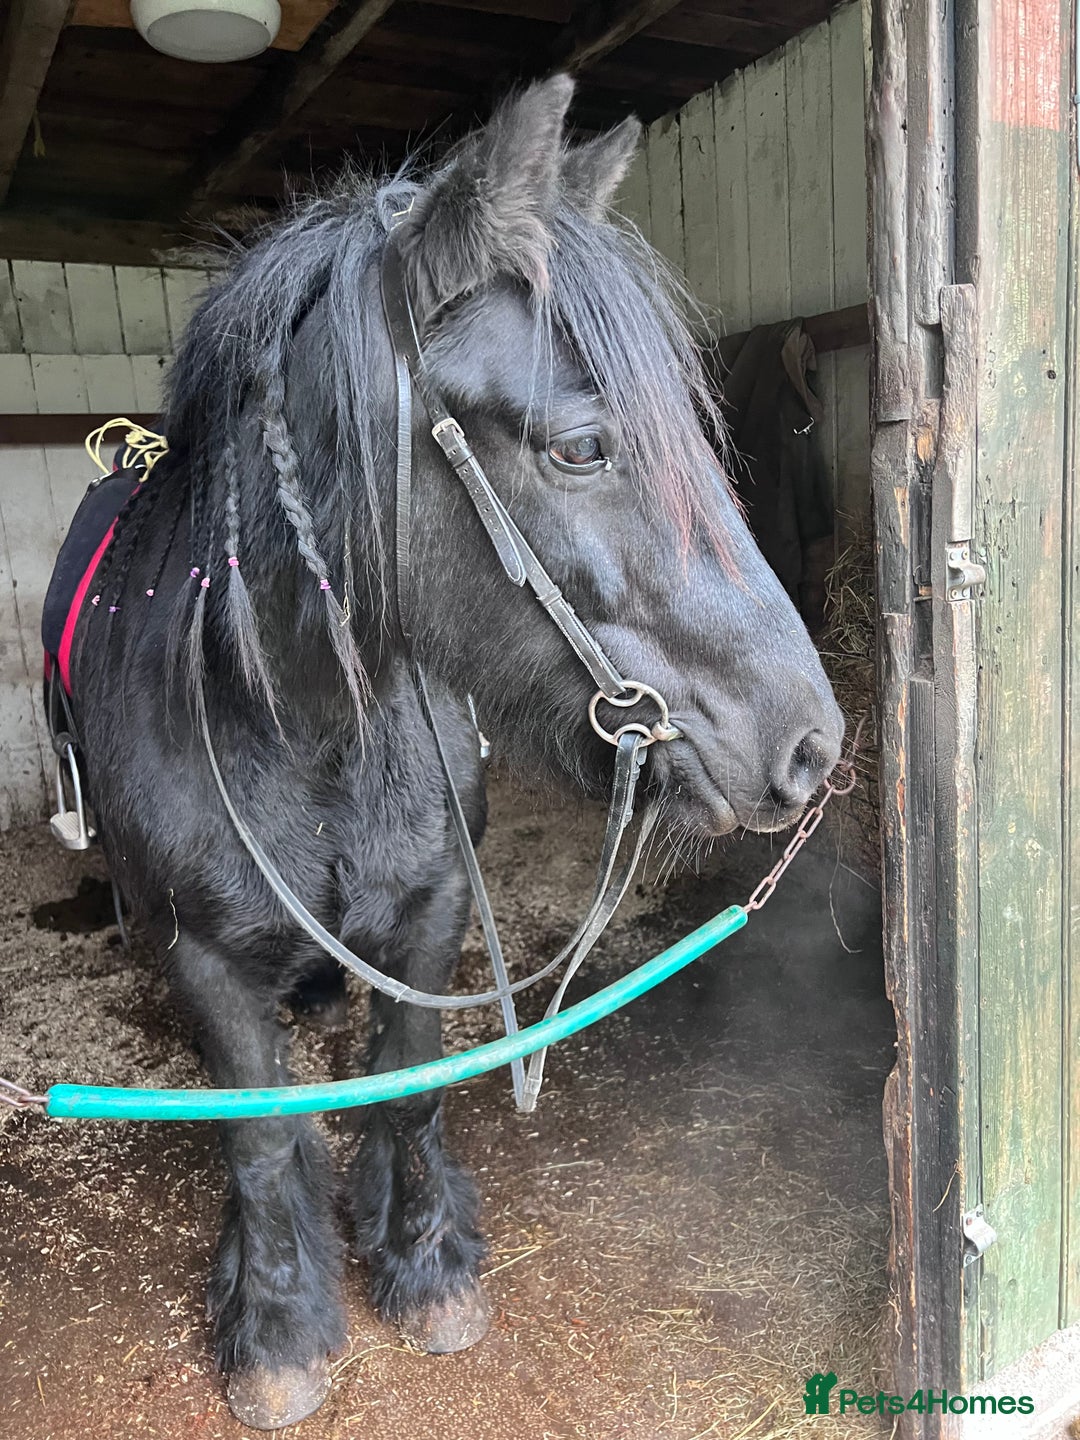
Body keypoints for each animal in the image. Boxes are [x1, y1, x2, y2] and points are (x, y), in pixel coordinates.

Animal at [62, 74, 843, 1428]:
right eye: (581, 446)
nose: (812, 741)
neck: (311, 731)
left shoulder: (429, 914)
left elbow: (412, 1083)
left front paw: (423, 1264)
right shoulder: (206, 960)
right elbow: (260, 1134)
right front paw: (278, 1328)